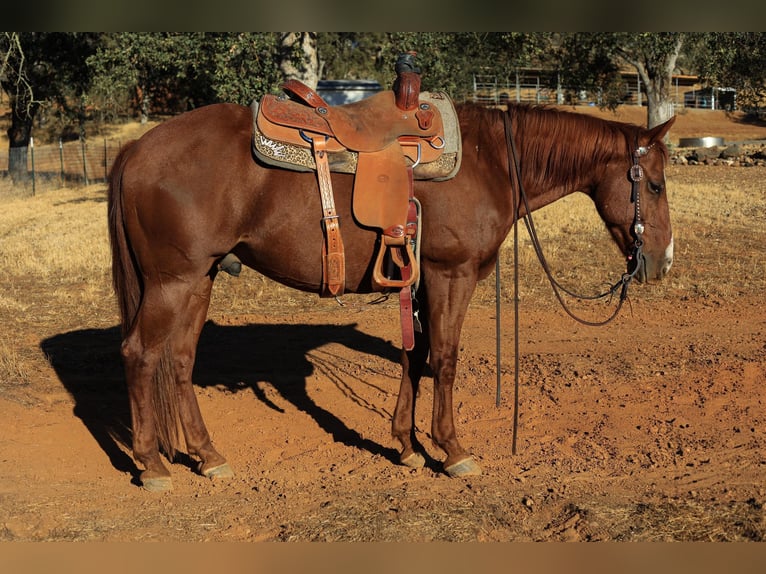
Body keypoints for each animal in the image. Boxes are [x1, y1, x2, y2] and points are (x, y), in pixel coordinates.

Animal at [108, 99, 675, 491]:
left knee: (179, 361)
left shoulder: (418, 282)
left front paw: (406, 443)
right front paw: (452, 449)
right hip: (172, 282)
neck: (491, 160)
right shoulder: (451, 275)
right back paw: (152, 465)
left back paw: (208, 456)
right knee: (139, 355)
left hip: (199, 280)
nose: (662, 261)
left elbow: (413, 356)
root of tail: (135, 149)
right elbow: (444, 359)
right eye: (655, 185)